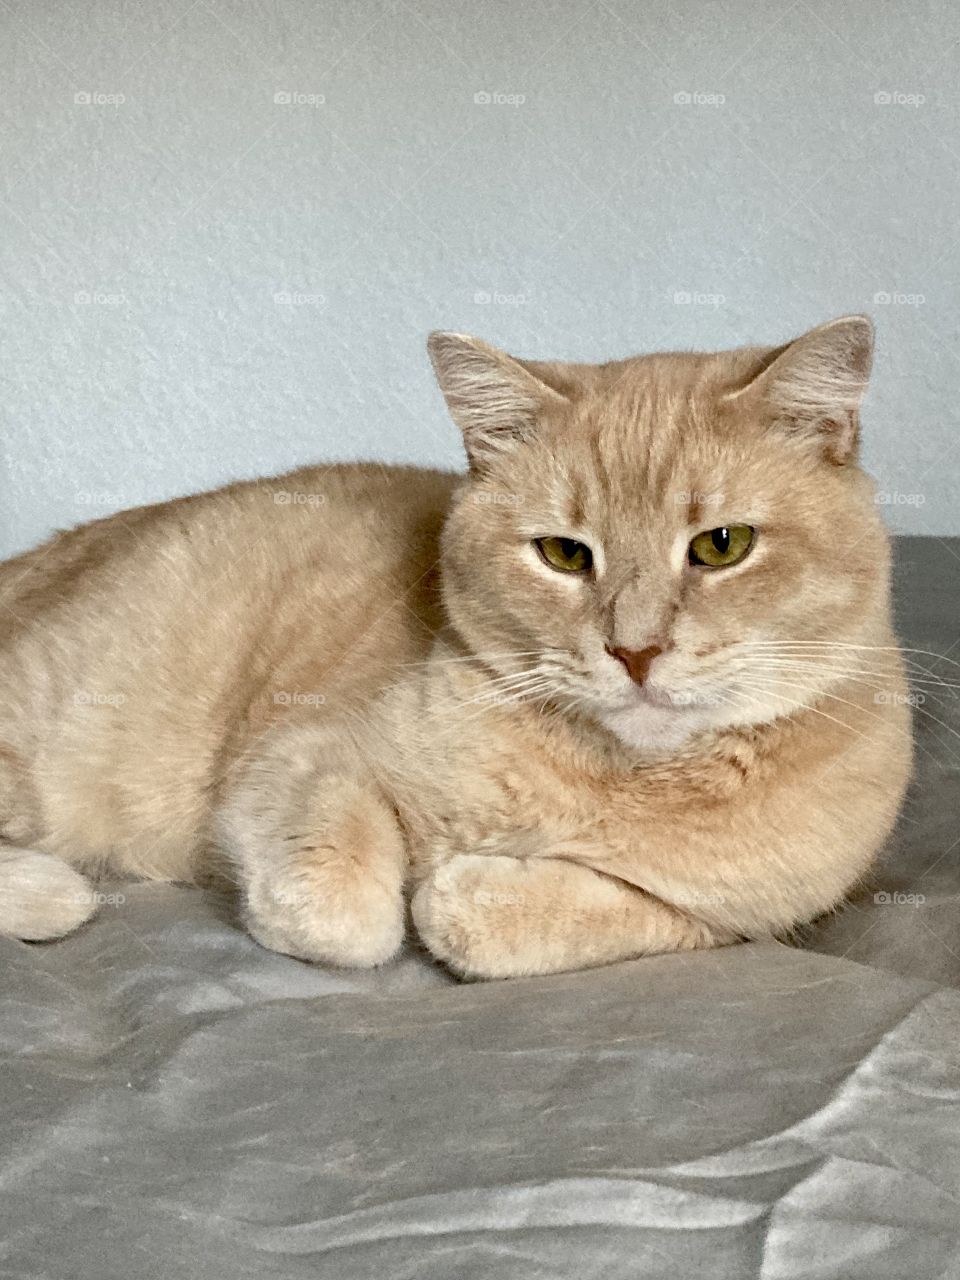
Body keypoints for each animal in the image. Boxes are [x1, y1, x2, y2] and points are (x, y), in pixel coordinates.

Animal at [0, 320, 916, 977]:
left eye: (722, 546)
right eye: (566, 554)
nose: (635, 650)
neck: (618, 781)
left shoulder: (742, 917)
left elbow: (575, 912)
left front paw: (473, 890)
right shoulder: (300, 756)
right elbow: (344, 912)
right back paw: (51, 891)